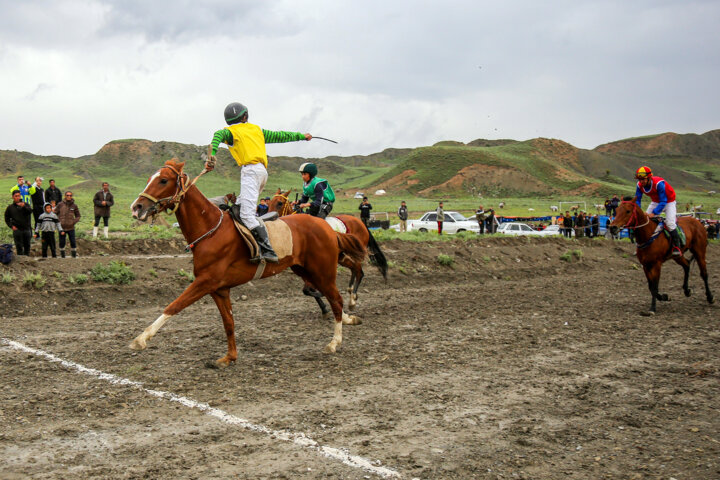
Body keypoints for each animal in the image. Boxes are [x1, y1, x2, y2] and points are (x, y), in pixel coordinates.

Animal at [127, 159, 366, 366]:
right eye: (150, 178)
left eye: (163, 180)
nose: (136, 207)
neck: (210, 230)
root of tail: (327, 228)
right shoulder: (219, 289)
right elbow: (229, 322)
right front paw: (230, 356)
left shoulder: (205, 282)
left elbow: (174, 306)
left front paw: (141, 338)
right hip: (304, 270)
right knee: (329, 295)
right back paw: (348, 319)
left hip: (323, 271)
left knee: (337, 298)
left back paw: (335, 341)